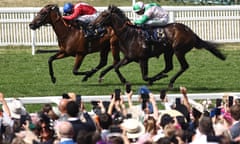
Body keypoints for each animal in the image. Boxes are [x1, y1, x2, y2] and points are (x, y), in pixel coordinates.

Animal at [93, 5, 226, 88]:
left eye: (104, 15)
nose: (93, 24)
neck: (129, 34)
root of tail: (191, 32)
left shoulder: (143, 59)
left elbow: (145, 76)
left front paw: (152, 79)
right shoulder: (129, 58)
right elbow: (116, 67)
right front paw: (125, 82)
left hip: (178, 51)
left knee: (183, 66)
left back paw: (170, 82)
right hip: (168, 52)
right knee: (169, 67)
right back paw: (161, 77)